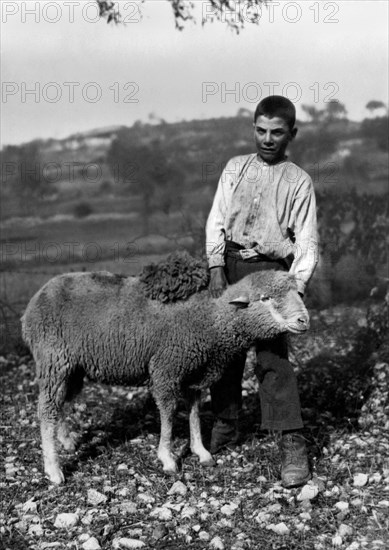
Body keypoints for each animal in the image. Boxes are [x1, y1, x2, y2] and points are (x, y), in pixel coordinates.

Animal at [22, 270, 310, 486]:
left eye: (298, 293)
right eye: (265, 298)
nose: (303, 320)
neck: (211, 319)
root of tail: (32, 304)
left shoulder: (194, 373)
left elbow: (193, 412)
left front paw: (201, 451)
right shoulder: (166, 369)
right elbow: (169, 413)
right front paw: (168, 458)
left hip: (73, 368)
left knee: (61, 401)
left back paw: (67, 441)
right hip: (53, 359)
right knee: (47, 408)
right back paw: (54, 469)